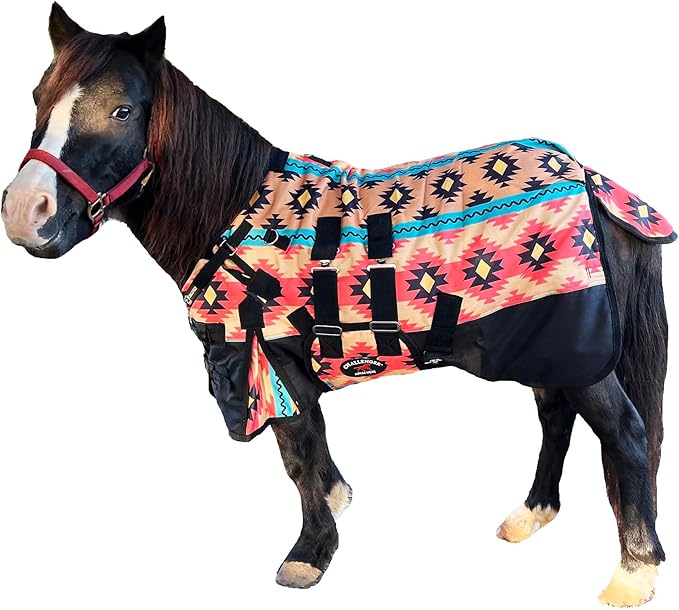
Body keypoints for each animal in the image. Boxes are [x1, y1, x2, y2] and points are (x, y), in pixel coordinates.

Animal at [1, 5, 674, 606]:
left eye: (122, 110)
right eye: (37, 96)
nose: (25, 212)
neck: (235, 214)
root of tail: (588, 177)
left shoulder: (272, 362)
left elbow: (296, 455)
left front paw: (309, 554)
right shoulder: (286, 369)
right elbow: (310, 451)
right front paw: (334, 505)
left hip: (576, 352)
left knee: (625, 432)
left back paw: (633, 574)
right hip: (542, 349)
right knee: (556, 418)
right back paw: (530, 515)